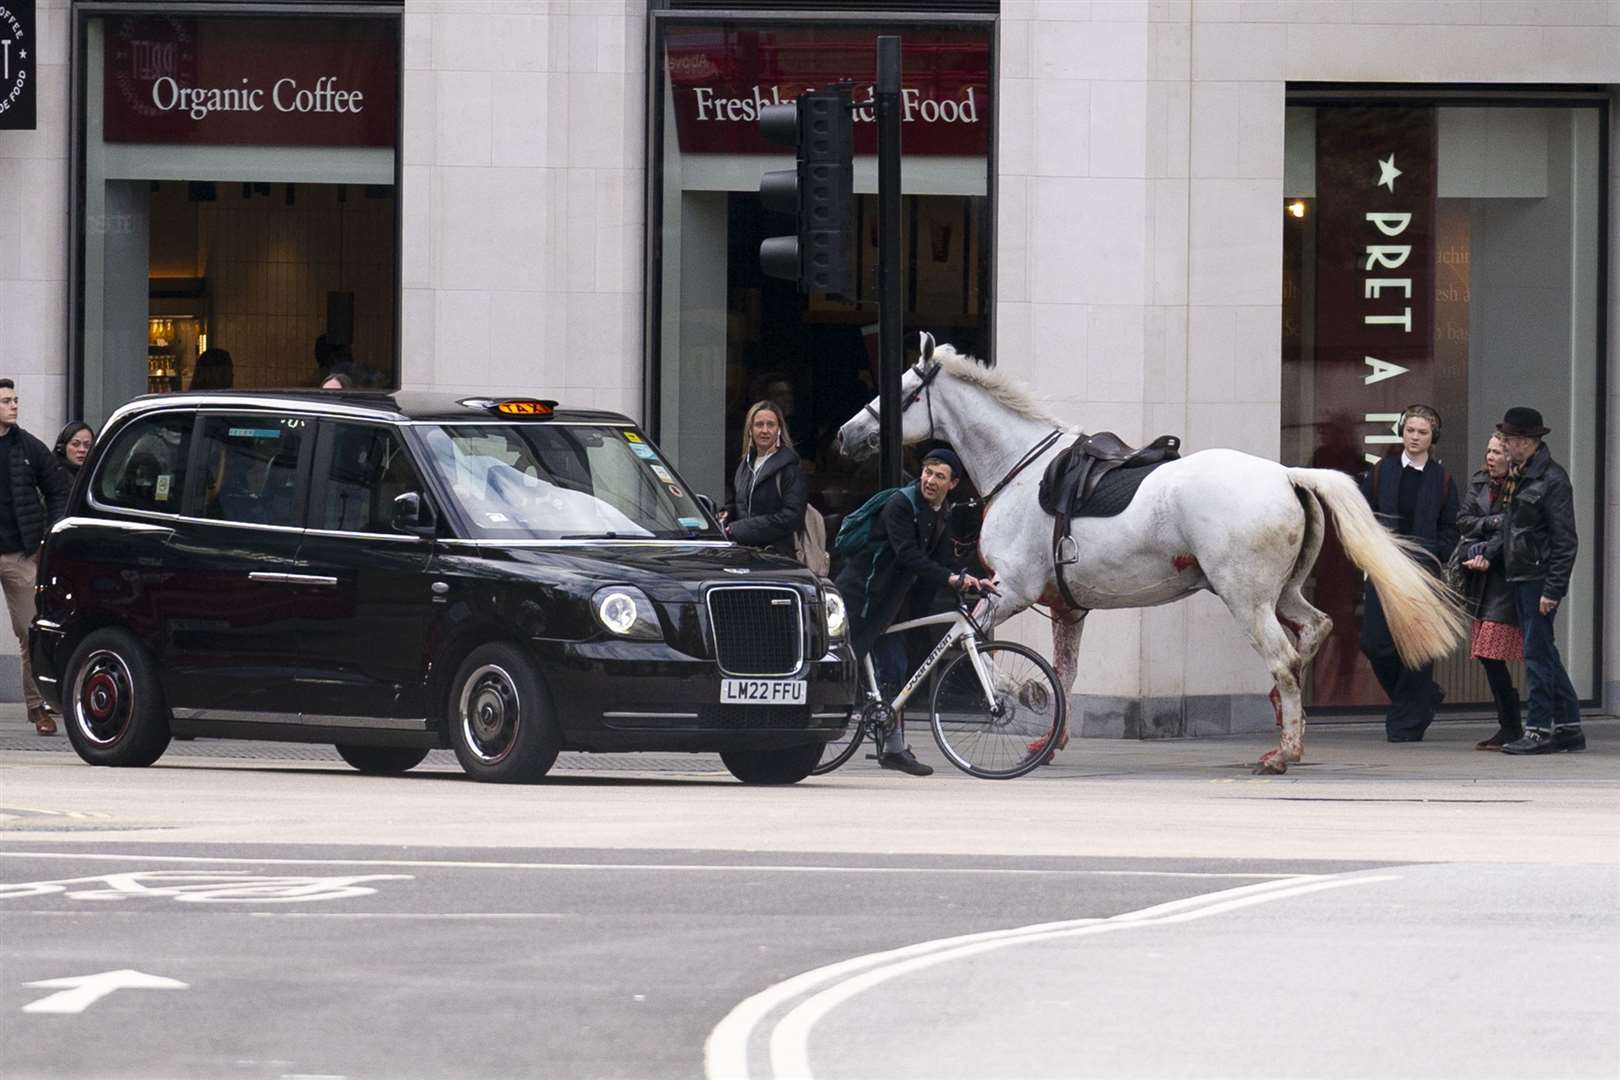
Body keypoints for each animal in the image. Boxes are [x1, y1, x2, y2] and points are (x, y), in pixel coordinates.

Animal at [835, 333, 1470, 773]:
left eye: (901, 390)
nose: (845, 435)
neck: (1020, 467)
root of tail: (1288, 474)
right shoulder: (1065, 608)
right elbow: (1064, 671)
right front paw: (1050, 736)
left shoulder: (1007, 590)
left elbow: (974, 650)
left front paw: (1019, 696)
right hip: (1281, 594)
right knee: (1315, 630)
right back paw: (1284, 720)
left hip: (1246, 600)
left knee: (1285, 659)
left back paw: (1282, 752)